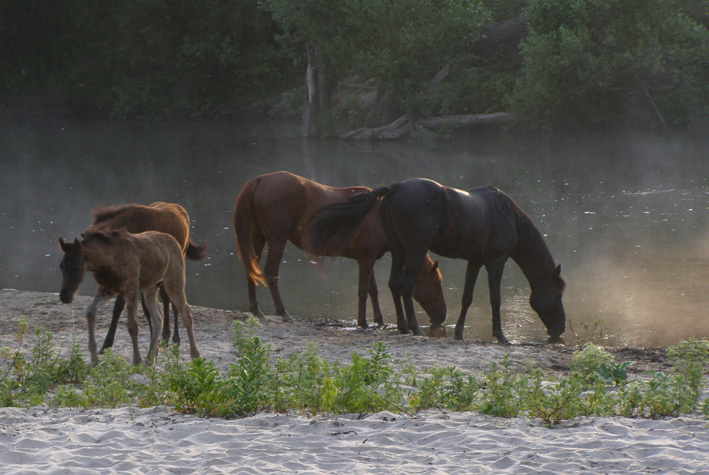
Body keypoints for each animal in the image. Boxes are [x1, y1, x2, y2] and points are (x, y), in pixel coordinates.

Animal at [59, 229, 201, 365]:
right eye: (61, 266)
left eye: (76, 267)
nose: (64, 296)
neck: (106, 262)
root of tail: (176, 243)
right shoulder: (106, 290)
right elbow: (90, 312)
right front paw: (94, 359)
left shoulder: (131, 289)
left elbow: (132, 325)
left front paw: (136, 361)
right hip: (150, 288)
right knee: (158, 318)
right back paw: (150, 360)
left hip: (174, 284)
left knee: (186, 314)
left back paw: (195, 355)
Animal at [86, 202, 207, 352]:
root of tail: (179, 209)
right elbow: (144, 308)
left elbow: (120, 306)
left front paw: (107, 344)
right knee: (166, 299)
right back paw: (165, 336)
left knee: (174, 303)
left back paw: (175, 339)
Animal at [233, 171, 446, 332]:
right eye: (437, 283)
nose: (442, 317)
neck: (380, 216)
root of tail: (259, 180)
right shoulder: (366, 259)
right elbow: (363, 291)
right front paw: (363, 322)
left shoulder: (368, 258)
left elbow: (373, 290)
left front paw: (379, 320)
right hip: (277, 239)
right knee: (270, 272)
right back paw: (282, 312)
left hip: (258, 236)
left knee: (251, 269)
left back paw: (255, 310)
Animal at [308, 178, 566, 343]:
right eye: (558, 293)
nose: (560, 329)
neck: (507, 215)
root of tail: (395, 188)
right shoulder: (496, 261)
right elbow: (496, 299)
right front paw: (501, 336)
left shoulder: (475, 261)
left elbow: (467, 298)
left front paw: (459, 333)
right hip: (415, 249)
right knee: (405, 285)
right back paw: (415, 328)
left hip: (399, 249)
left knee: (393, 285)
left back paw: (403, 327)